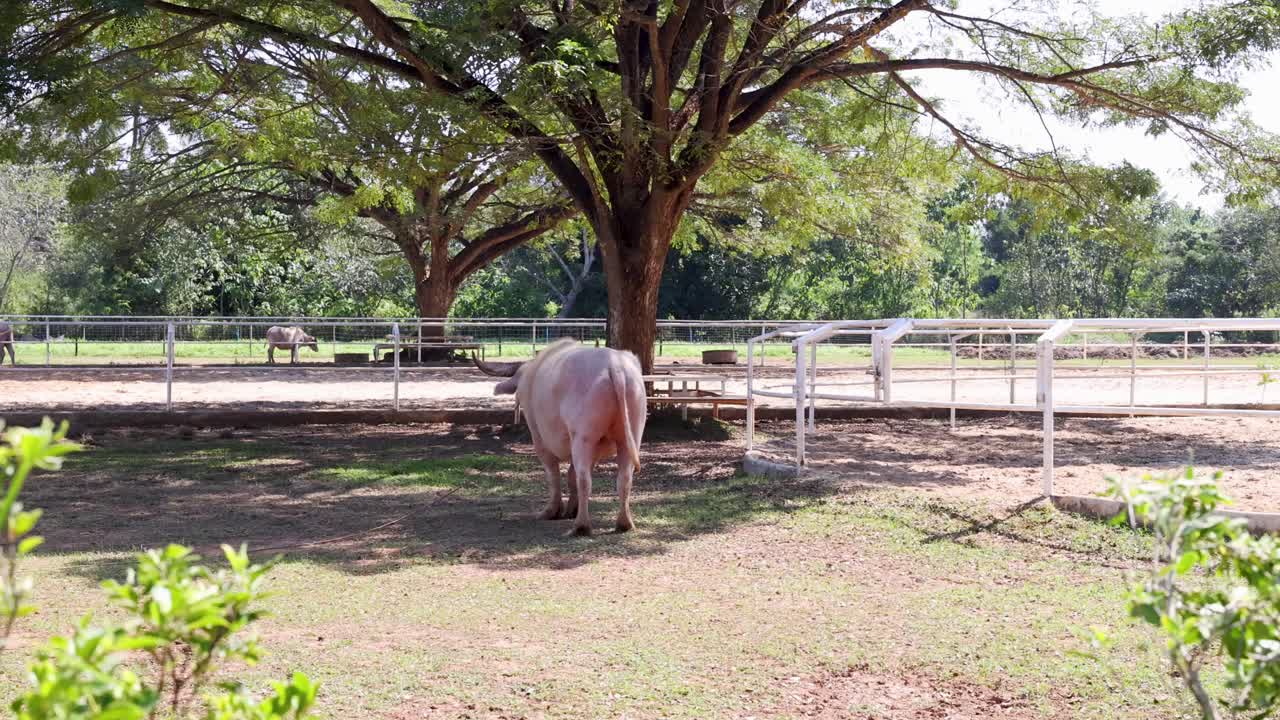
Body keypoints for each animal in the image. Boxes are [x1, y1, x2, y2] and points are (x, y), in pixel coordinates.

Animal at [474, 338, 646, 536]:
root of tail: (615, 366)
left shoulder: (540, 439)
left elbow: (553, 475)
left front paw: (552, 511)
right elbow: (570, 475)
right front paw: (571, 508)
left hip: (583, 438)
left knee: (584, 479)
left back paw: (581, 526)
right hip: (630, 437)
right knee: (624, 478)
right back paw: (624, 523)